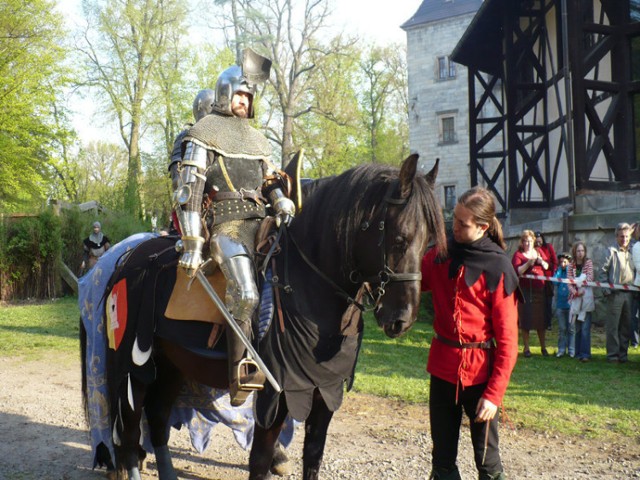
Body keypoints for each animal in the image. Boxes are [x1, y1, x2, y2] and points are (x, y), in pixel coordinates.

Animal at [80, 155, 444, 480]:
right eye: (400, 238)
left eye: (430, 242)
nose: (401, 320)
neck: (310, 283)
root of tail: (126, 260)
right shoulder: (275, 394)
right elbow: (260, 460)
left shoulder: (324, 391)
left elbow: (313, 456)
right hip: (134, 366)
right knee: (128, 434)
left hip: (171, 364)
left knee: (156, 422)